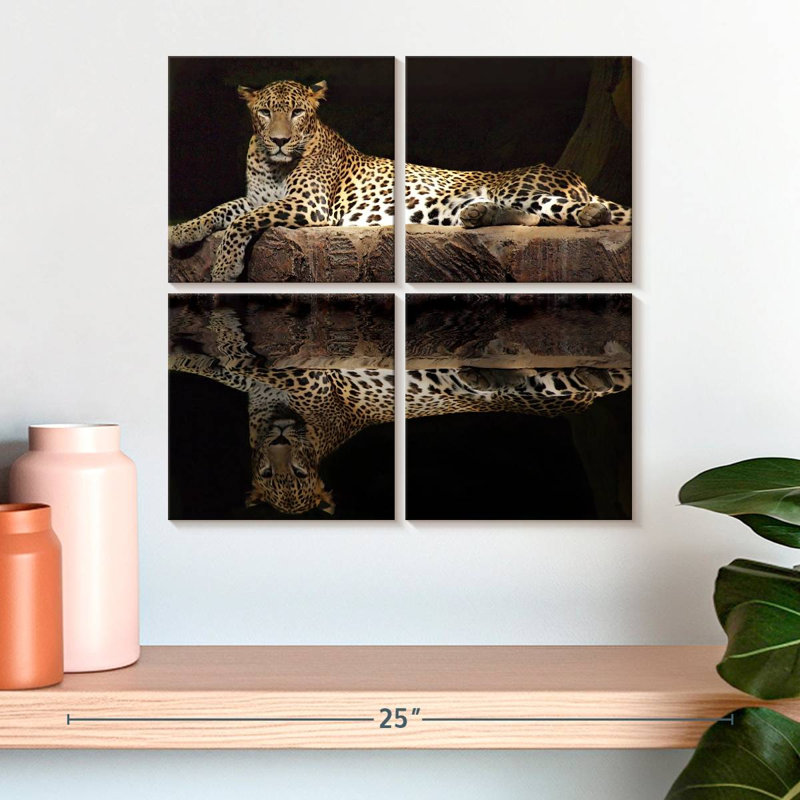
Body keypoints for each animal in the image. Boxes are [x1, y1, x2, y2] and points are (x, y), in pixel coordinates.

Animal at [168, 79, 631, 282]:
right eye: (265, 112)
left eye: (298, 112)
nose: (280, 140)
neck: (273, 163)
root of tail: (574, 174)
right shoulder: (256, 197)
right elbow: (222, 210)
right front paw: (180, 232)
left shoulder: (308, 205)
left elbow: (240, 223)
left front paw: (225, 266)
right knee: (529, 217)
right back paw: (478, 215)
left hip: (521, 187)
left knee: (562, 212)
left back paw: (590, 214)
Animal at [169, 307, 632, 515]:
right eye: (268, 474)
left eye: (298, 474)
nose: (281, 439)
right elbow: (214, 366)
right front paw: (182, 352)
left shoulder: (310, 379)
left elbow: (240, 357)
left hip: (553, 386)